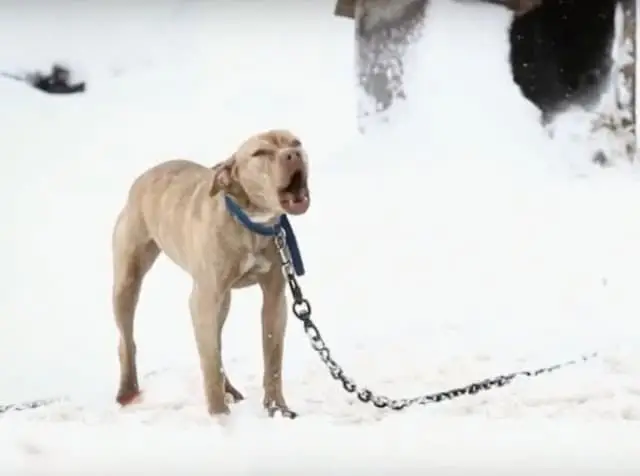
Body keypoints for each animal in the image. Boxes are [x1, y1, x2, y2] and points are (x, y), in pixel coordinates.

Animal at [111, 127, 312, 416]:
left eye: (296, 142)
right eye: (260, 153)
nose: (293, 154)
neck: (250, 222)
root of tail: (144, 177)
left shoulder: (274, 300)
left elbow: (272, 359)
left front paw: (277, 409)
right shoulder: (203, 299)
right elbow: (209, 362)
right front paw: (219, 415)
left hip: (222, 301)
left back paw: (230, 389)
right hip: (127, 283)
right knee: (127, 340)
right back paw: (127, 390)